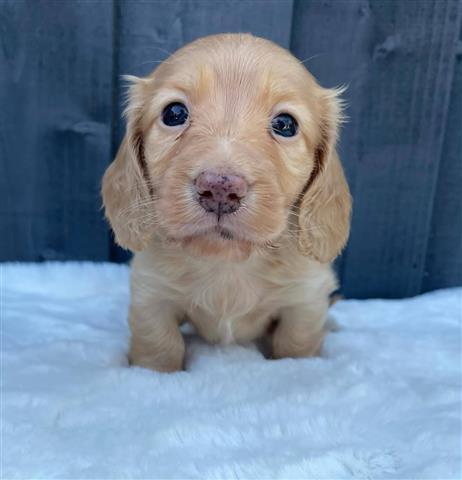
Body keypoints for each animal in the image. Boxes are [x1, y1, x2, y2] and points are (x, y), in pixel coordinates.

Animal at [103, 33, 352, 374]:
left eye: (285, 124)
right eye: (174, 114)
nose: (220, 189)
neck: (227, 262)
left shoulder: (306, 299)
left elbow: (296, 344)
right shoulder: (151, 295)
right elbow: (159, 345)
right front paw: (153, 372)